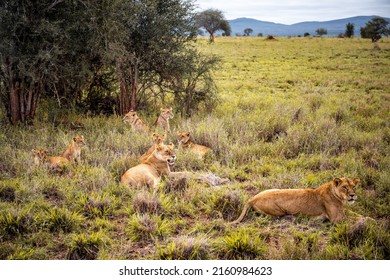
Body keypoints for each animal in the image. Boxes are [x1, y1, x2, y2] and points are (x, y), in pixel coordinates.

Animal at [233, 178, 362, 224]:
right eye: (344, 187)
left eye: (353, 186)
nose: (352, 195)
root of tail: (253, 198)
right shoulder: (336, 218)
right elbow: (355, 219)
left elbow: (357, 215)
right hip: (279, 211)